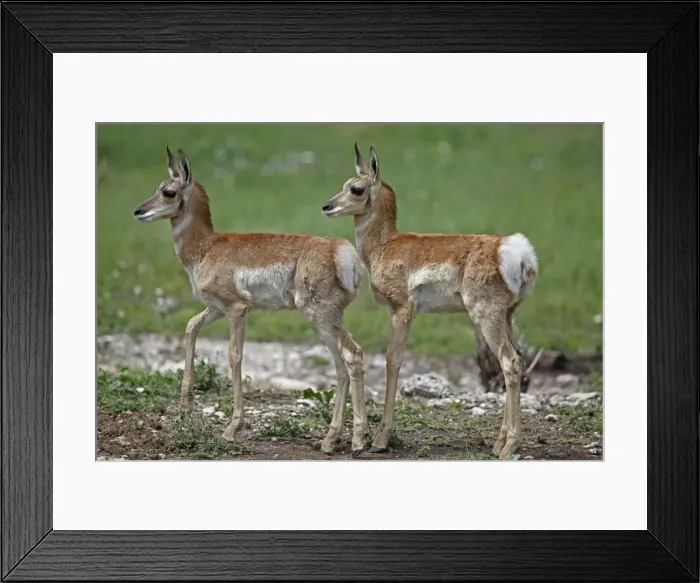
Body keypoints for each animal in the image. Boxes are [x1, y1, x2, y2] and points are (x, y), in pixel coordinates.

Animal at [133, 147, 367, 456]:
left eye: (169, 192)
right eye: (157, 187)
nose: (139, 211)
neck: (206, 246)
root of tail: (341, 250)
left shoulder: (236, 310)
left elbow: (235, 357)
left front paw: (232, 428)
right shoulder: (214, 309)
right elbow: (191, 326)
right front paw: (185, 404)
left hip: (322, 318)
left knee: (352, 356)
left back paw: (358, 441)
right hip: (325, 321)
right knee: (341, 365)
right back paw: (331, 440)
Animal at [321, 144, 539, 460]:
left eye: (357, 189)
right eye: (344, 184)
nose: (327, 207)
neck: (386, 243)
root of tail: (511, 249)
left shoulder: (402, 311)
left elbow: (392, 360)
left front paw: (380, 439)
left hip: (487, 317)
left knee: (509, 361)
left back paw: (509, 446)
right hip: (507, 317)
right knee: (518, 360)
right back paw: (500, 443)